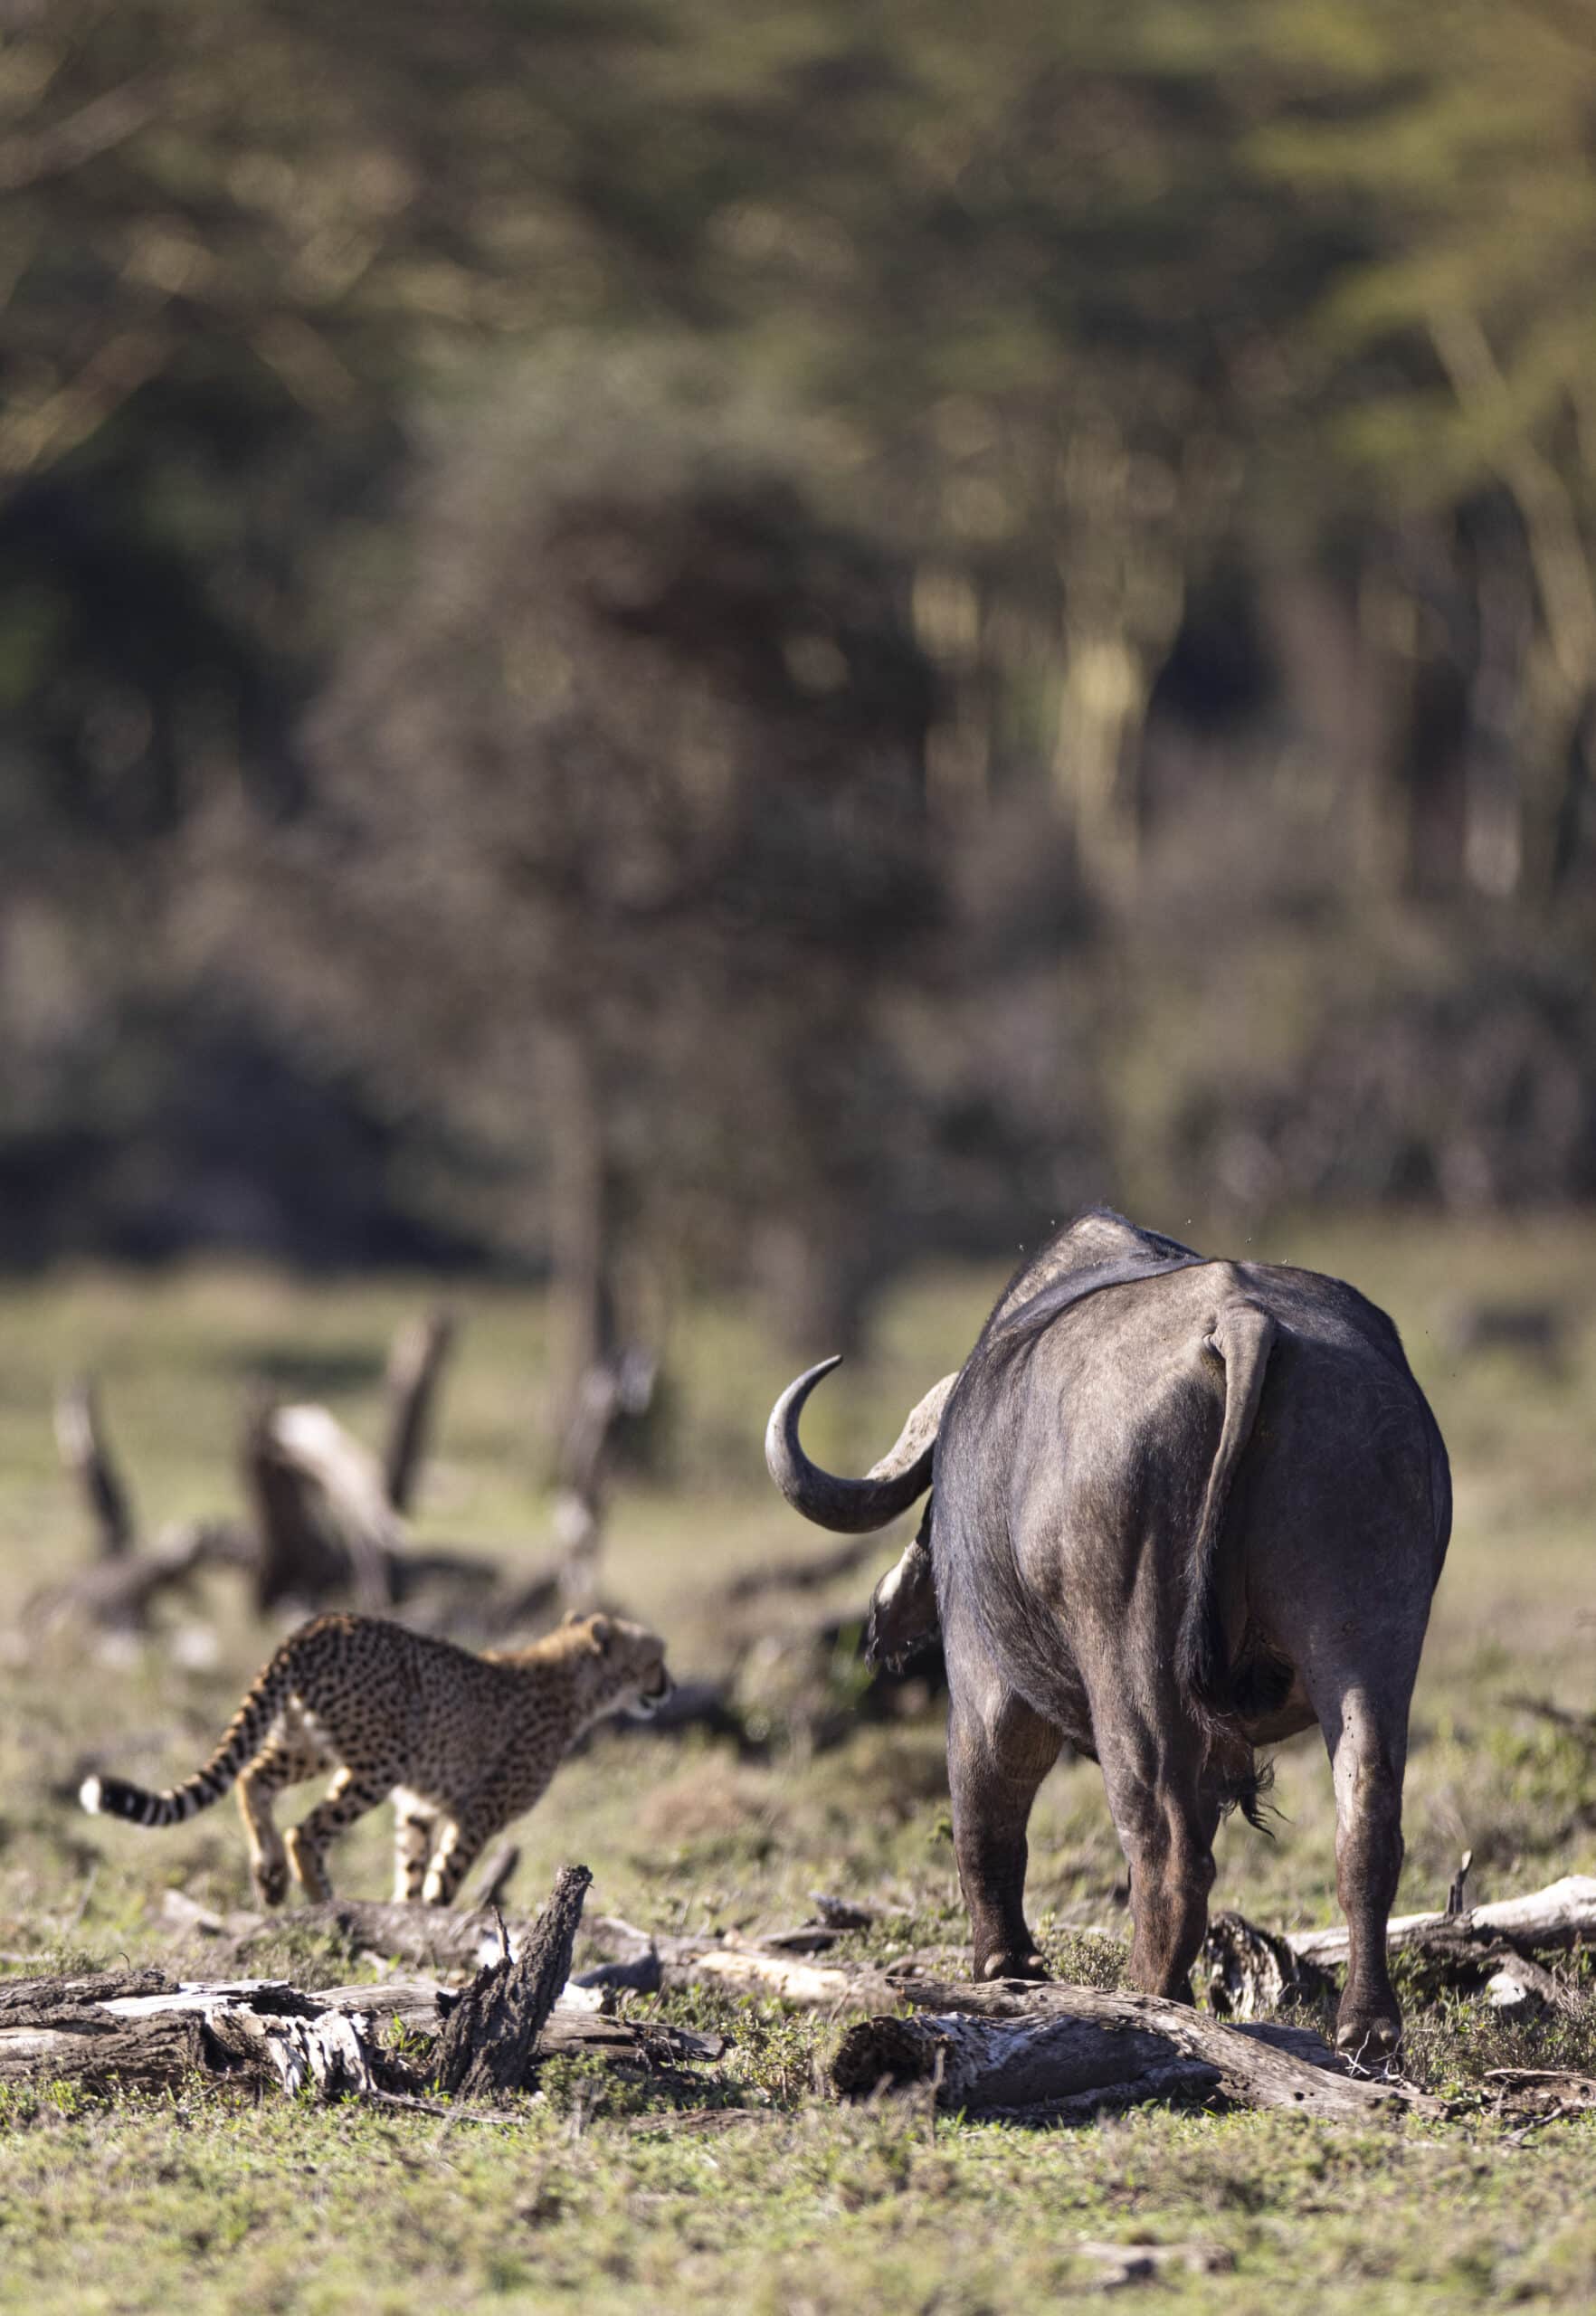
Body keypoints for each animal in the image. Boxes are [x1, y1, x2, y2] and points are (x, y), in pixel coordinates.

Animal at [79, 1602, 667, 1908]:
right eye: (655, 1658)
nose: (670, 1687)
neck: (573, 1683)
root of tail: (322, 1621)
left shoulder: (419, 1807)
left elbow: (411, 1870)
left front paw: (406, 1921)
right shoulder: (477, 1814)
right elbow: (444, 1879)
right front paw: (435, 1926)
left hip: (310, 1743)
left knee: (251, 1779)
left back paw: (270, 1877)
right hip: (378, 1762)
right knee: (304, 1830)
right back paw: (319, 1895)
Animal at [764, 1204, 1454, 2056]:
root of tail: (1240, 1322)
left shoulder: (989, 1688)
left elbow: (985, 1814)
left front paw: (1006, 1966)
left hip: (1133, 1666)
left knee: (1163, 1844)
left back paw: (1147, 1997)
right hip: (1368, 1638)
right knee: (1367, 1819)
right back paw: (1366, 2026)